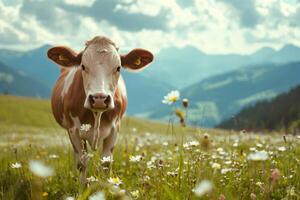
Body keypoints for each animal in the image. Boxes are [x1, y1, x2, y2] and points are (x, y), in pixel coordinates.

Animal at [47, 36, 154, 184]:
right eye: (83, 66)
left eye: (118, 68)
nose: (99, 98)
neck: (97, 115)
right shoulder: (73, 130)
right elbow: (81, 163)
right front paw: (82, 188)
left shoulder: (115, 129)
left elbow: (106, 164)